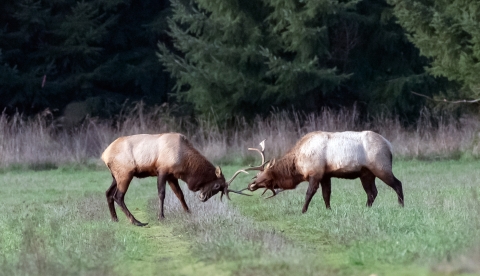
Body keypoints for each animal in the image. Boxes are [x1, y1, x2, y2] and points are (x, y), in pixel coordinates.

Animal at [101, 133, 251, 225]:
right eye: (216, 186)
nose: (202, 197)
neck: (184, 162)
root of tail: (104, 155)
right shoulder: (162, 170)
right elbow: (161, 194)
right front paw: (161, 216)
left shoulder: (172, 176)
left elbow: (180, 194)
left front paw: (188, 212)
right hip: (126, 173)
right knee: (118, 196)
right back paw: (135, 221)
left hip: (116, 176)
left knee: (108, 193)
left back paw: (114, 218)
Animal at [244, 130, 404, 212]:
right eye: (257, 175)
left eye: (265, 177)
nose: (251, 185)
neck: (298, 165)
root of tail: (389, 146)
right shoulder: (326, 175)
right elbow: (326, 194)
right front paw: (328, 210)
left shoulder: (315, 173)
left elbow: (309, 193)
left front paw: (303, 211)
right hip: (366, 173)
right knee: (372, 192)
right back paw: (366, 209)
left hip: (381, 167)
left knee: (397, 184)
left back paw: (401, 206)